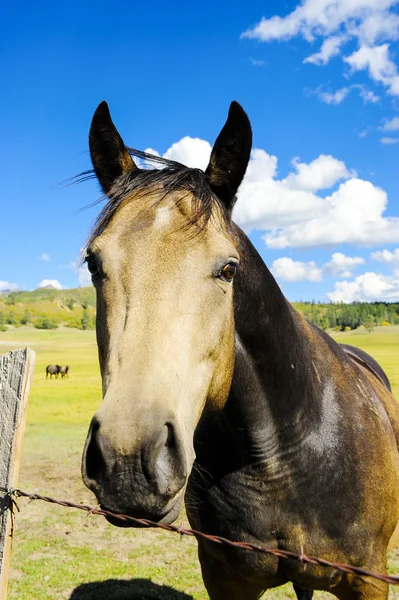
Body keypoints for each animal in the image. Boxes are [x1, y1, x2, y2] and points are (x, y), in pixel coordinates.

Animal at [80, 101, 399, 596]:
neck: (284, 457)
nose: (128, 461)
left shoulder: (368, 580)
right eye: (94, 263)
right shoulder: (225, 577)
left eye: (228, 269)